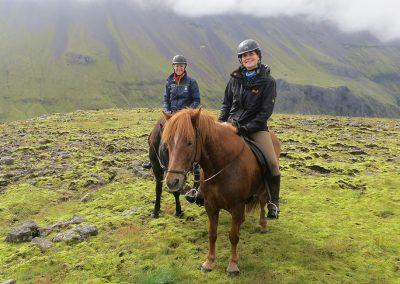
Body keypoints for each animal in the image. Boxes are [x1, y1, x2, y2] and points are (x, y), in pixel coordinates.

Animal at [161, 107, 280, 276]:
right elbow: (212, 234)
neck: (223, 165)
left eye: (189, 142)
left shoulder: (237, 206)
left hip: (263, 187)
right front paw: (209, 262)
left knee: (263, 203)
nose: (172, 181)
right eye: (168, 143)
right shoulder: (210, 206)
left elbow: (233, 236)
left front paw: (233, 265)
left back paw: (264, 223)